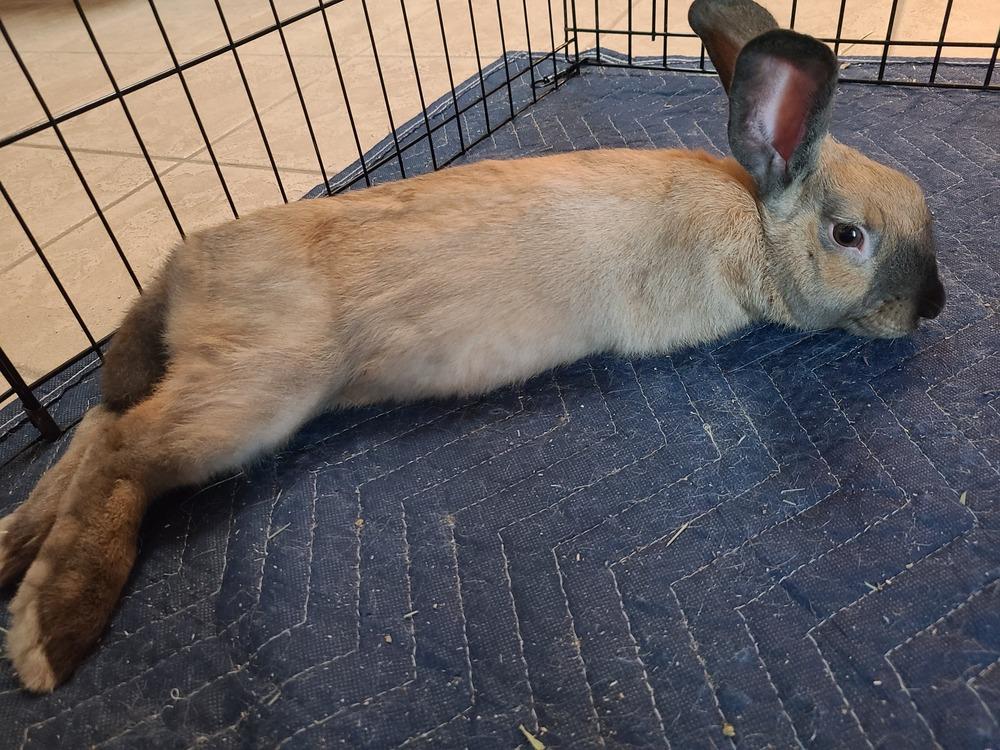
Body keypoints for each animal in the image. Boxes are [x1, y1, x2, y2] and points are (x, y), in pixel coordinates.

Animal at [0, 0, 945, 692]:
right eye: (850, 236)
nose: (933, 305)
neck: (749, 219)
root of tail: (184, 264)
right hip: (258, 393)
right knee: (126, 449)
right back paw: (50, 632)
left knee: (96, 426)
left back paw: (12, 545)